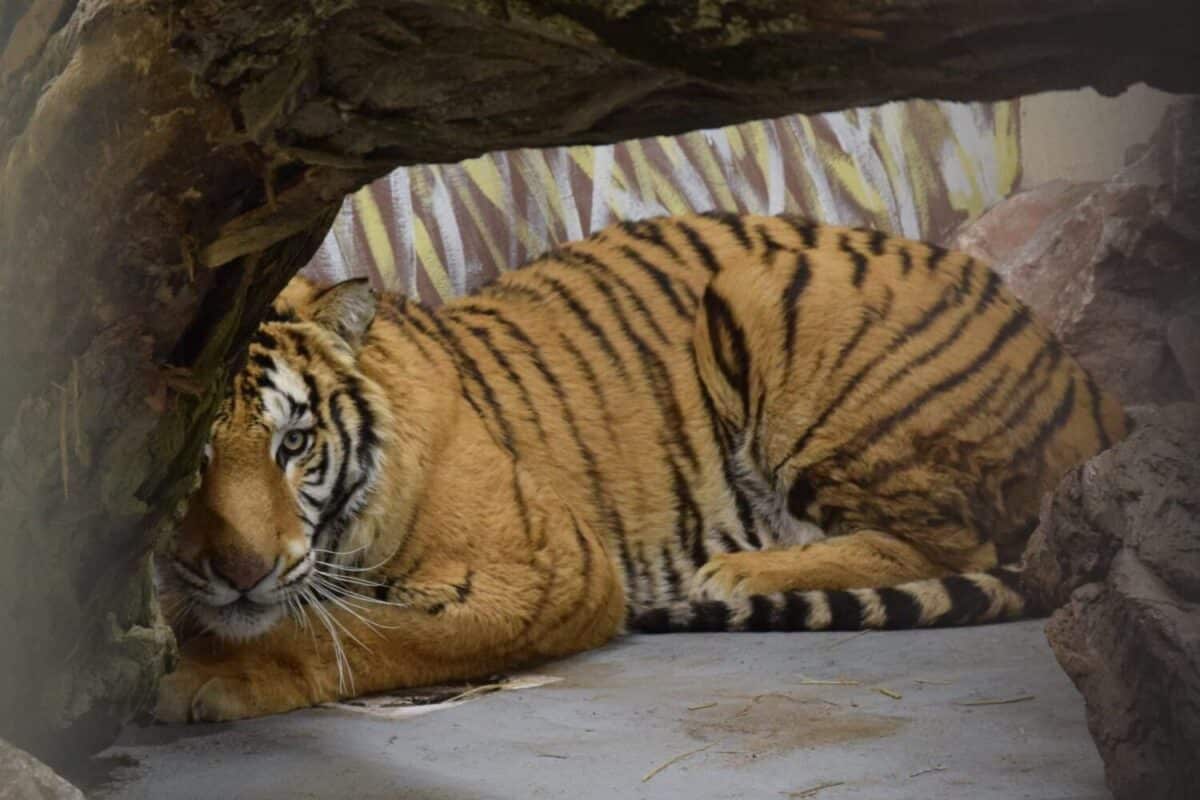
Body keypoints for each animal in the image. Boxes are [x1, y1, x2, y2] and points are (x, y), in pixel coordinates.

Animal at [155, 212, 1126, 723]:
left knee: (952, 544)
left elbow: (361, 634)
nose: (241, 572)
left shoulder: (546, 570)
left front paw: (207, 676)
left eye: (292, 444)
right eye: (186, 467)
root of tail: (1093, 389)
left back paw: (740, 570)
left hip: (761, 295)